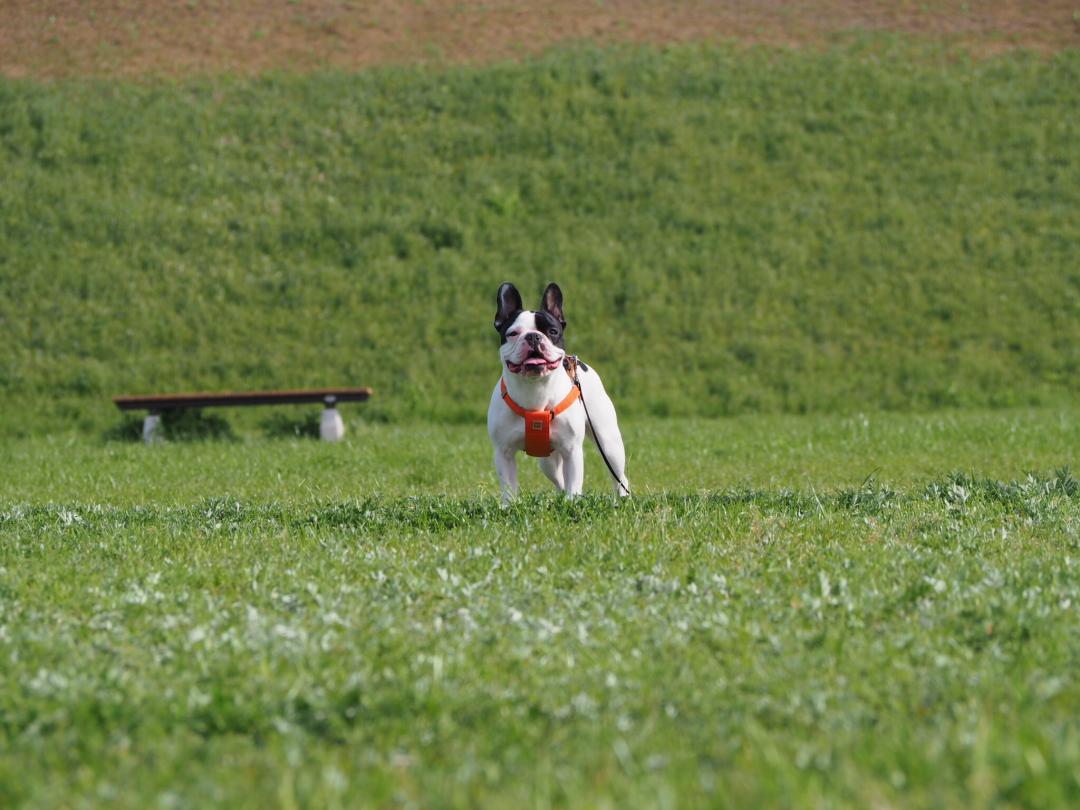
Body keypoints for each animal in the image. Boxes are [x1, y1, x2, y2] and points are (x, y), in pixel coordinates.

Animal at [488, 282, 630, 501]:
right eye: (512, 333)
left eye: (553, 331)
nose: (533, 336)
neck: (535, 387)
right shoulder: (504, 452)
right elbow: (508, 487)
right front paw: (509, 506)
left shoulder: (572, 450)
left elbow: (574, 483)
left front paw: (572, 503)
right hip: (547, 462)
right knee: (560, 480)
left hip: (608, 443)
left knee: (619, 476)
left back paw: (622, 498)